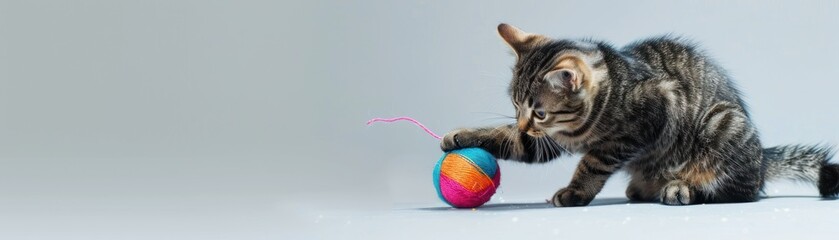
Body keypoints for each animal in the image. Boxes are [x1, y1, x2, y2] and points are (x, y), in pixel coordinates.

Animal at [442, 23, 836, 206]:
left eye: (538, 113)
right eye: (515, 106)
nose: (524, 123)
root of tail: (762, 160)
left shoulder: (642, 122)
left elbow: (591, 165)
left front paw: (574, 192)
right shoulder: (544, 141)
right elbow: (505, 139)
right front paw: (459, 136)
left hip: (722, 123)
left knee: (740, 190)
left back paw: (681, 188)